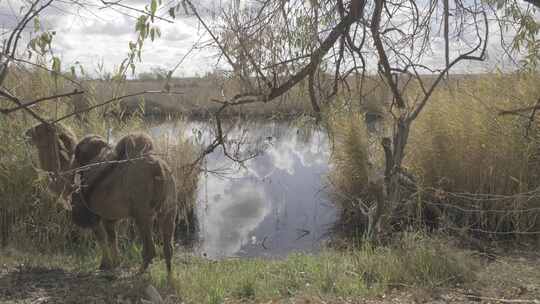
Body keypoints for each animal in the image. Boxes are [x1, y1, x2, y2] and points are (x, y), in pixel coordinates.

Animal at [26, 122, 178, 274]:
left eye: (40, 128)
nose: (27, 132)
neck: (70, 171)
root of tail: (159, 169)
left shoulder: (92, 213)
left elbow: (101, 238)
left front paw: (105, 265)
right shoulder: (108, 216)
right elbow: (112, 239)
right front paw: (115, 264)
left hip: (142, 212)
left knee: (150, 249)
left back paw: (138, 273)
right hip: (169, 209)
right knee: (168, 248)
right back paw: (169, 277)